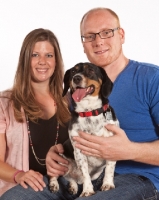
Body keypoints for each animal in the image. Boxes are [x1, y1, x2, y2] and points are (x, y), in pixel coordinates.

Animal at [49, 62, 119, 197]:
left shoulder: (111, 146)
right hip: (60, 157)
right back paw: (54, 184)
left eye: (91, 70)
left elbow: (109, 169)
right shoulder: (79, 151)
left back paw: (73, 186)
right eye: (73, 72)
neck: (89, 112)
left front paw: (107, 184)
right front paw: (87, 190)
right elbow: (85, 173)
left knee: (71, 179)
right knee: (55, 174)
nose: (76, 78)